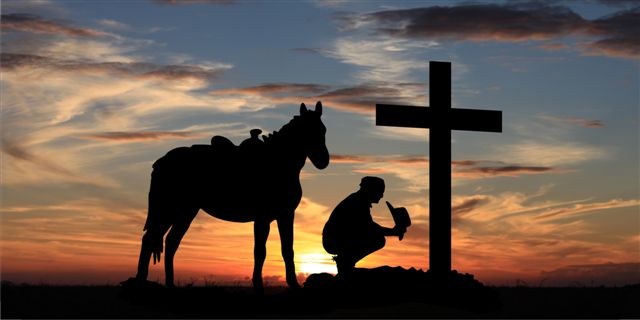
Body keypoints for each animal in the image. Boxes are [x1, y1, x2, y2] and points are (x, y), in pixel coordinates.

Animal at [132, 100, 328, 292]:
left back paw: (170, 285)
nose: (323, 161)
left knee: (171, 242)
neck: (277, 161)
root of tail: (161, 161)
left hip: (185, 212)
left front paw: (293, 284)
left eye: (323, 130)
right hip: (169, 210)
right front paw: (258, 286)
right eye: (307, 131)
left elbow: (287, 249)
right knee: (150, 240)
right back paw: (141, 283)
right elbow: (260, 251)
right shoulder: (262, 218)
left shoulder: (285, 215)